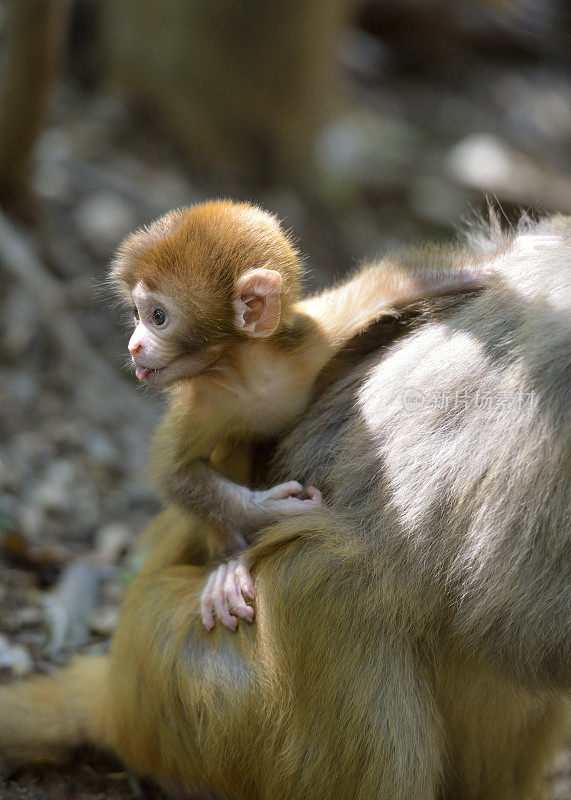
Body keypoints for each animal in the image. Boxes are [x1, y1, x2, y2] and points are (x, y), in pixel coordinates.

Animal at [110, 200, 492, 632]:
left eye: (157, 317)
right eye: (137, 314)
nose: (134, 344)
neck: (251, 373)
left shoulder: (313, 341)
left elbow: (392, 286)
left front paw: (496, 266)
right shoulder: (205, 400)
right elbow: (173, 472)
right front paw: (267, 511)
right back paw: (227, 562)